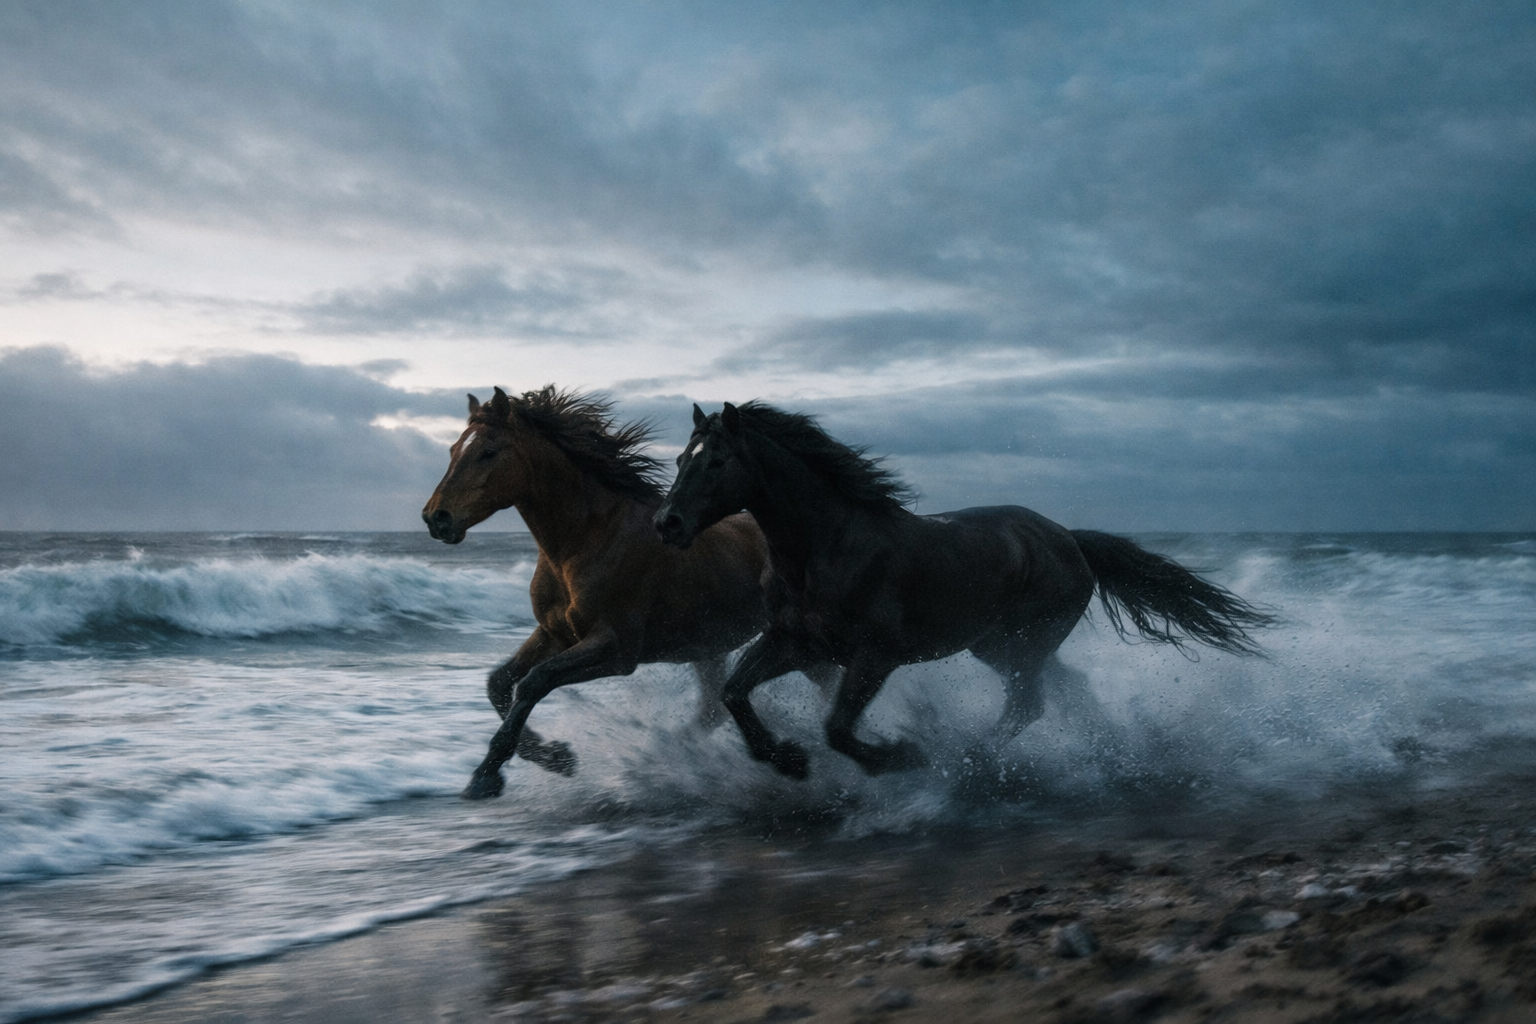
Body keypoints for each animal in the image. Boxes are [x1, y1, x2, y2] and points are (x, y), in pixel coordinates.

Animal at [422, 386, 836, 800]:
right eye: (453, 449)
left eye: (488, 451)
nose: (435, 518)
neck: (587, 540)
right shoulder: (555, 634)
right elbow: (499, 683)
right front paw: (553, 757)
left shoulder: (616, 649)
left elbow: (533, 682)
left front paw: (488, 775)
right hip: (711, 647)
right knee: (713, 706)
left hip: (799, 647)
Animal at [653, 401, 1272, 780]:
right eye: (681, 458)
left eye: (718, 461)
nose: (667, 523)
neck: (825, 548)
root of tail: (1069, 539)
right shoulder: (795, 643)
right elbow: (734, 692)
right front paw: (787, 761)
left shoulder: (874, 657)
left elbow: (837, 728)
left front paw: (899, 757)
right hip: (998, 647)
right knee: (1062, 692)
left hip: (1025, 643)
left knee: (1027, 706)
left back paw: (972, 761)